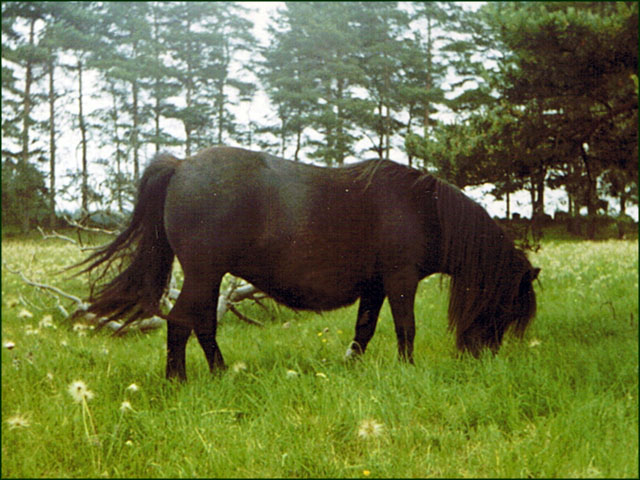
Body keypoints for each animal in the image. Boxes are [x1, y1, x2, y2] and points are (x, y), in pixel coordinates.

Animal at [76, 146, 539, 381]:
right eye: (507, 306)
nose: (482, 357)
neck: (421, 208)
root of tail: (181, 165)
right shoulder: (400, 280)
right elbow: (405, 329)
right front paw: (407, 369)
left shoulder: (375, 286)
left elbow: (365, 329)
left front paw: (351, 365)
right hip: (204, 274)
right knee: (181, 323)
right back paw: (181, 380)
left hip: (209, 277)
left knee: (202, 325)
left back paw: (221, 373)